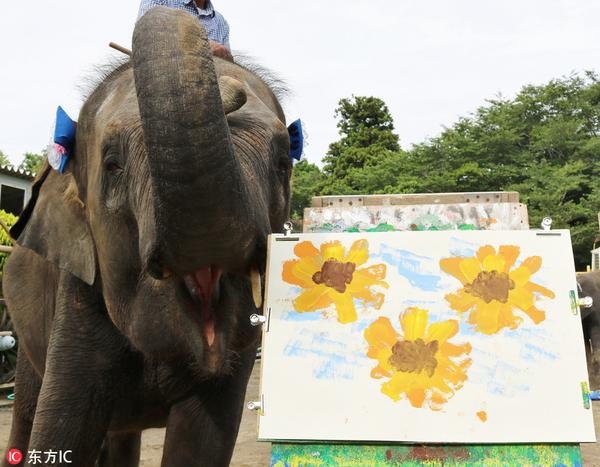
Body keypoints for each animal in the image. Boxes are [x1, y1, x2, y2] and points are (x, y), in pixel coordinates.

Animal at [2, 7, 291, 467]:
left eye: (283, 162)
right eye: (113, 165)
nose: (230, 89)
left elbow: (201, 441)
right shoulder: (77, 301)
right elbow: (60, 431)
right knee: (28, 413)